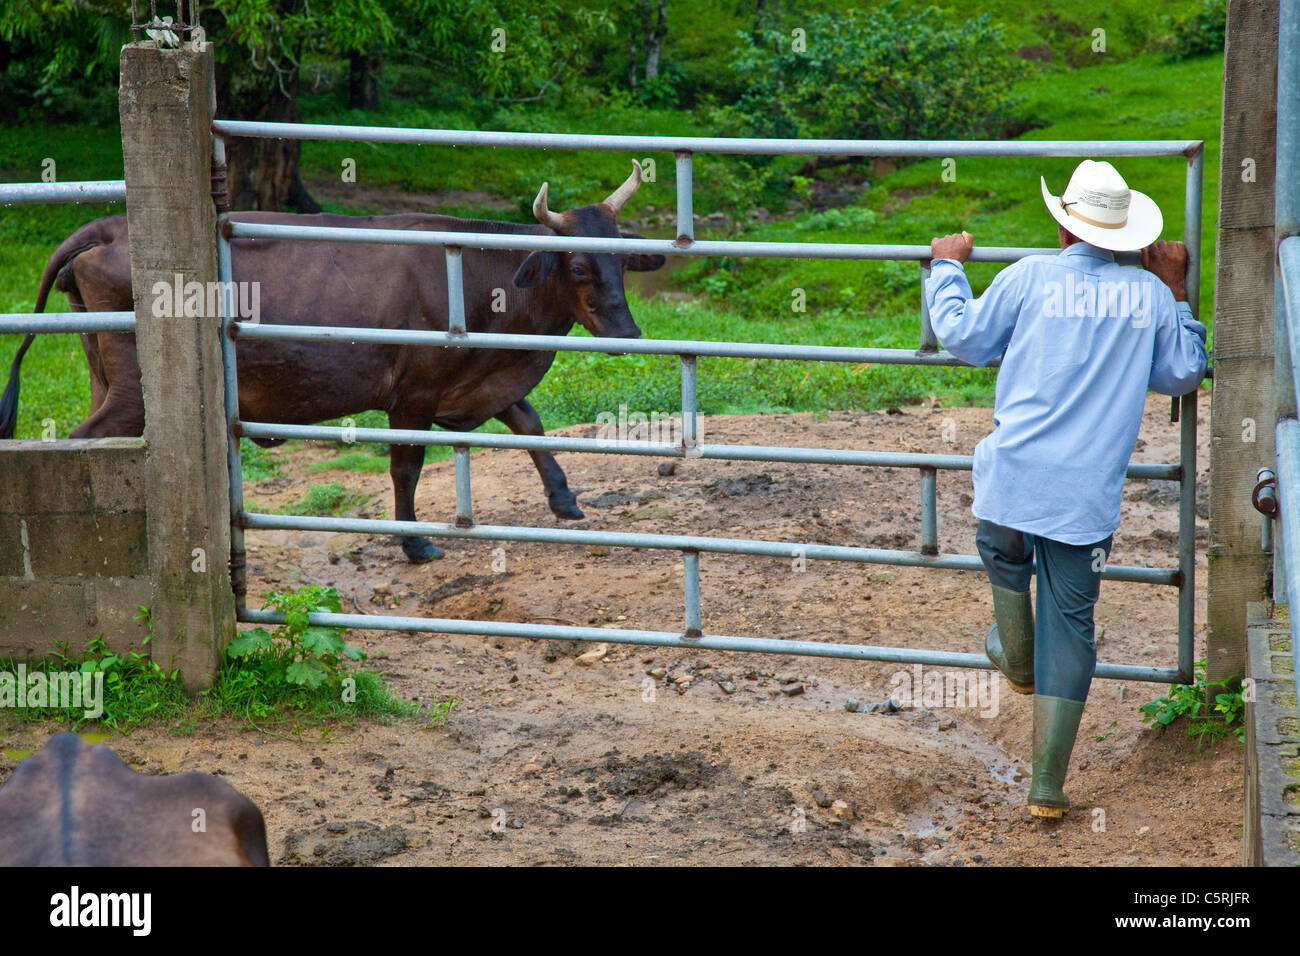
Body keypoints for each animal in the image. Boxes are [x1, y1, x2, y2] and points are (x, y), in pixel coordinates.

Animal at [0, 162, 666, 563]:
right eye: (578, 266)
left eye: (622, 260)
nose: (628, 331)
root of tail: (109, 225)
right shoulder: (413, 396)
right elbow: (406, 468)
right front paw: (416, 545)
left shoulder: (480, 381)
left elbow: (531, 425)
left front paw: (564, 499)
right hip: (132, 393)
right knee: (81, 444)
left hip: (103, 374)